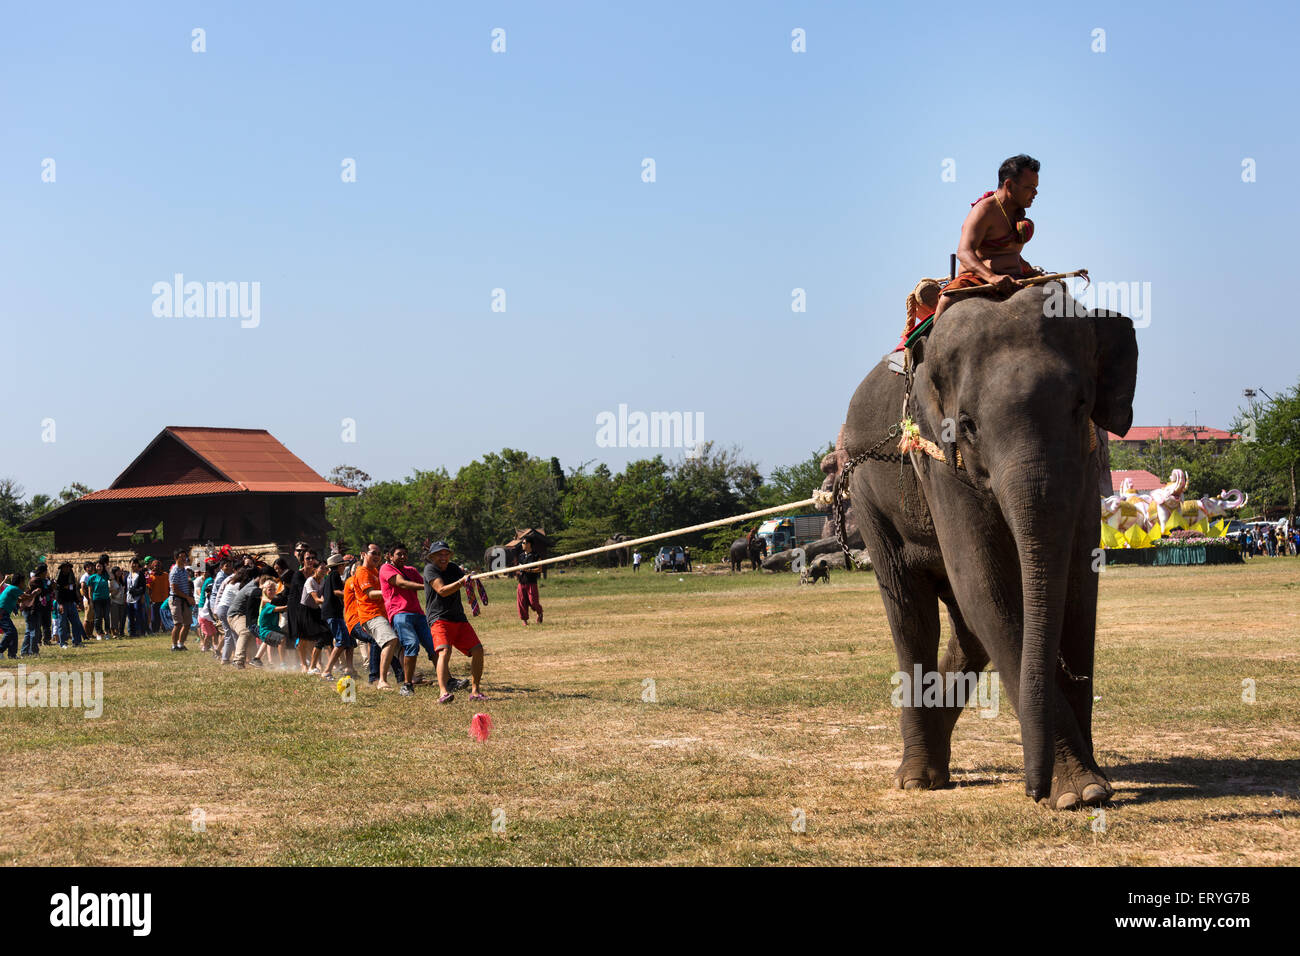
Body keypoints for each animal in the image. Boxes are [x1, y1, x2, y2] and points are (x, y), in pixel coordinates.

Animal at [838, 285, 1137, 810]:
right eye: (969, 425)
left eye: (1081, 406)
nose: (1033, 788)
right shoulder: (938, 459)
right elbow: (986, 586)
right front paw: (1076, 793)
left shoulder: (1087, 460)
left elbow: (1081, 588)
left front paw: (1090, 788)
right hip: (866, 496)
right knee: (912, 616)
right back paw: (916, 778)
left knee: (968, 630)